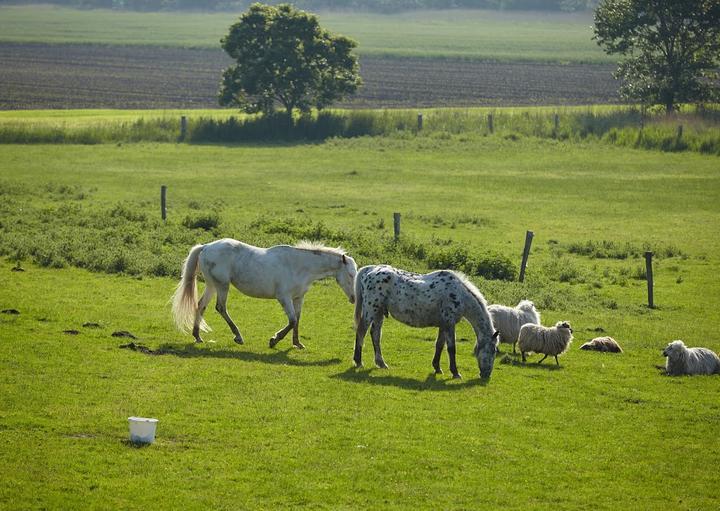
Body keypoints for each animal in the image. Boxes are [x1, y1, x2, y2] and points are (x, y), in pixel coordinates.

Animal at [172, 239, 358, 350]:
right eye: (350, 275)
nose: (354, 298)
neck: (299, 265)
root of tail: (206, 247)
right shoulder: (284, 298)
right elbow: (292, 321)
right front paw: (274, 339)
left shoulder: (298, 298)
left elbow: (297, 320)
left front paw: (297, 343)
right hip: (222, 286)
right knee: (221, 307)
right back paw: (238, 336)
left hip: (212, 285)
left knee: (201, 305)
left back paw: (197, 336)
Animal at [352, 266, 498, 378]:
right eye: (493, 350)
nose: (486, 375)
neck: (459, 294)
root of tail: (369, 270)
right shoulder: (449, 323)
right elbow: (451, 349)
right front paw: (455, 373)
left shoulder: (443, 325)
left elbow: (439, 345)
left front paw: (437, 368)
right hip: (371, 310)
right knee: (361, 332)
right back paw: (358, 361)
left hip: (378, 313)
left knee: (375, 335)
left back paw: (381, 363)